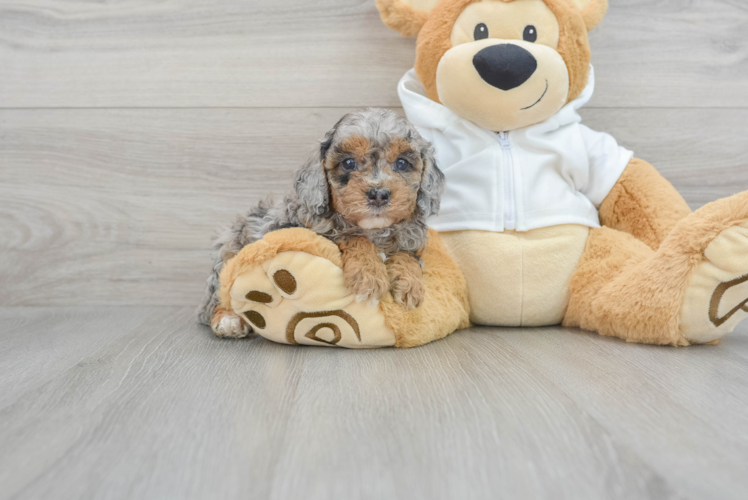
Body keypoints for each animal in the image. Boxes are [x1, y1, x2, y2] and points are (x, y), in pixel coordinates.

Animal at [197, 107, 444, 338]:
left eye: (402, 163)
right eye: (349, 162)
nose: (378, 194)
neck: (374, 229)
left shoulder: (412, 243)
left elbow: (407, 256)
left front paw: (410, 285)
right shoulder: (304, 230)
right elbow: (351, 236)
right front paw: (369, 275)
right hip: (229, 252)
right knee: (218, 296)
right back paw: (229, 320)